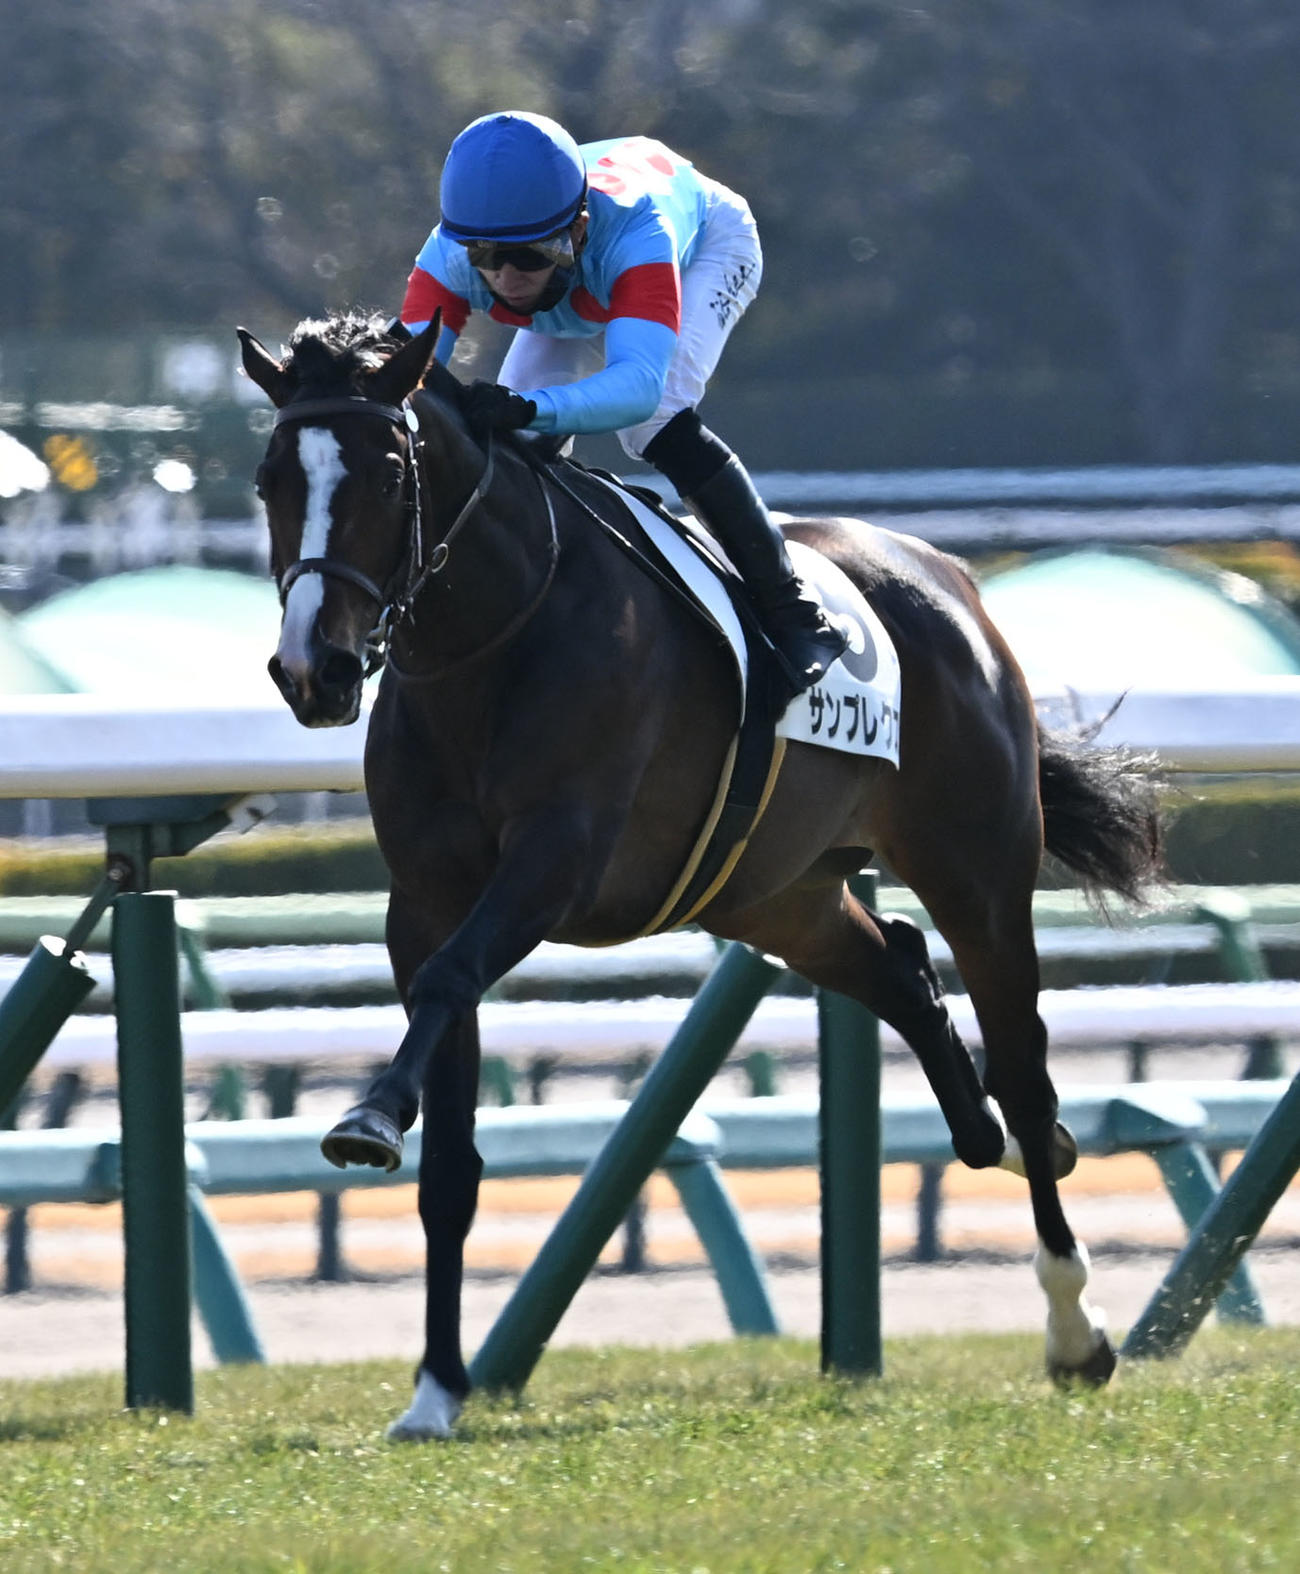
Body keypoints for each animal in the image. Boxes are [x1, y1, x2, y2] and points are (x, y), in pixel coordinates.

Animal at [238, 309, 1162, 1440]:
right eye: (270, 478)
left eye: (384, 473)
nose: (312, 671)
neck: (490, 644)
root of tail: (952, 578)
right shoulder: (422, 904)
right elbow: (448, 1156)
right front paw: (434, 1390)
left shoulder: (555, 862)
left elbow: (455, 978)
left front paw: (367, 1117)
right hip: (776, 896)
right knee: (903, 972)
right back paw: (987, 1130)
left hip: (977, 868)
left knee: (1024, 1069)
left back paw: (1075, 1326)